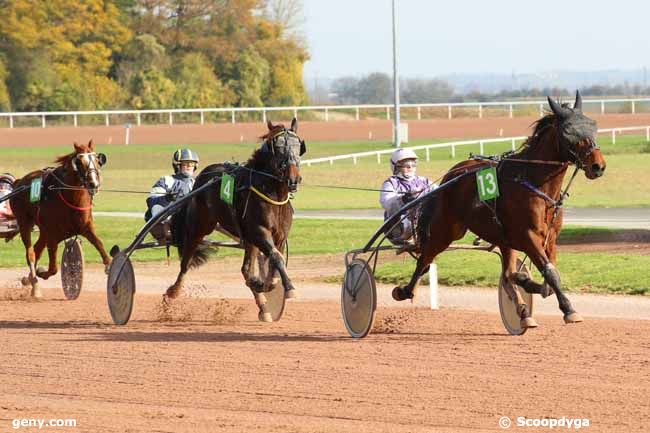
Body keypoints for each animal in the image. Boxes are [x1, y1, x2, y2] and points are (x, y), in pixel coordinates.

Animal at [8, 138, 110, 296]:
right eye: (79, 162)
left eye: (97, 160)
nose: (93, 183)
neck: (70, 199)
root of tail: (19, 182)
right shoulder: (52, 234)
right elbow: (53, 269)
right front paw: (40, 273)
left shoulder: (86, 227)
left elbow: (99, 244)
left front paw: (109, 265)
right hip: (25, 222)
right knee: (31, 253)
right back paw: (34, 285)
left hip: (43, 230)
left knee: (37, 250)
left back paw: (30, 280)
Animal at [162, 118, 304, 320]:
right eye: (277, 147)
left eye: (298, 146)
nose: (293, 178)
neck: (274, 194)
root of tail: (203, 176)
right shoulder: (259, 232)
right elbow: (276, 257)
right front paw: (290, 288)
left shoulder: (279, 236)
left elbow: (274, 263)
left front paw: (263, 283)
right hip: (199, 228)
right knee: (186, 261)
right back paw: (174, 290)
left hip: (248, 239)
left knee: (245, 269)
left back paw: (261, 302)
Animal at [392, 92, 604, 328]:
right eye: (568, 131)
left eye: (592, 126)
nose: (598, 166)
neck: (533, 182)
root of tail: (450, 176)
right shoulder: (528, 236)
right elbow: (549, 274)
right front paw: (569, 310)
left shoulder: (549, 237)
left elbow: (546, 276)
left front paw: (528, 283)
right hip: (446, 231)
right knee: (425, 259)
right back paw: (404, 291)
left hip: (501, 238)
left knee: (505, 272)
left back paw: (523, 310)